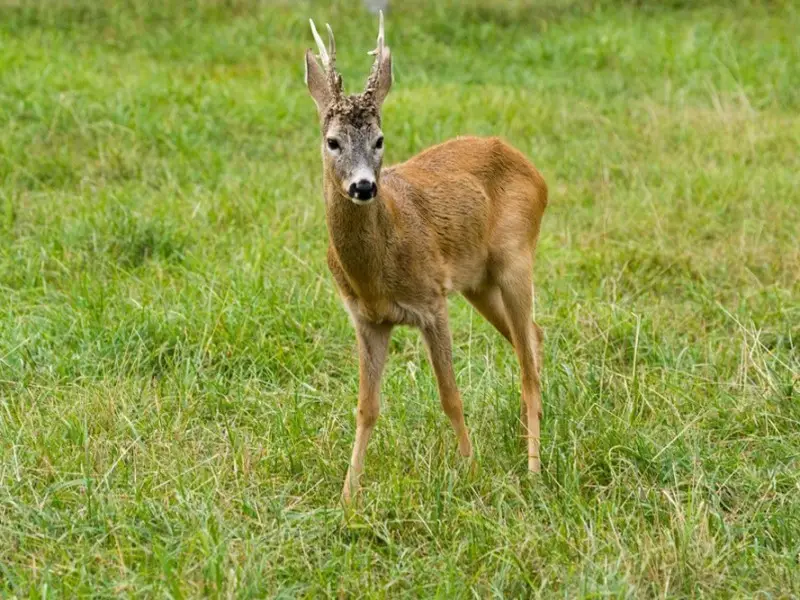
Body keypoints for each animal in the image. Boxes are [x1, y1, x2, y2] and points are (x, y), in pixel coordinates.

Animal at [304, 11, 548, 504]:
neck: (375, 273)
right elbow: (366, 407)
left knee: (527, 362)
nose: (364, 186)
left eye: (380, 139)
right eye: (333, 142)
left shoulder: (433, 302)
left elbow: (450, 395)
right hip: (478, 283)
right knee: (531, 337)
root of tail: (537, 174)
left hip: (516, 257)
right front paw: (348, 496)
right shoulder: (367, 319)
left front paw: (471, 471)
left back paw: (532, 469)